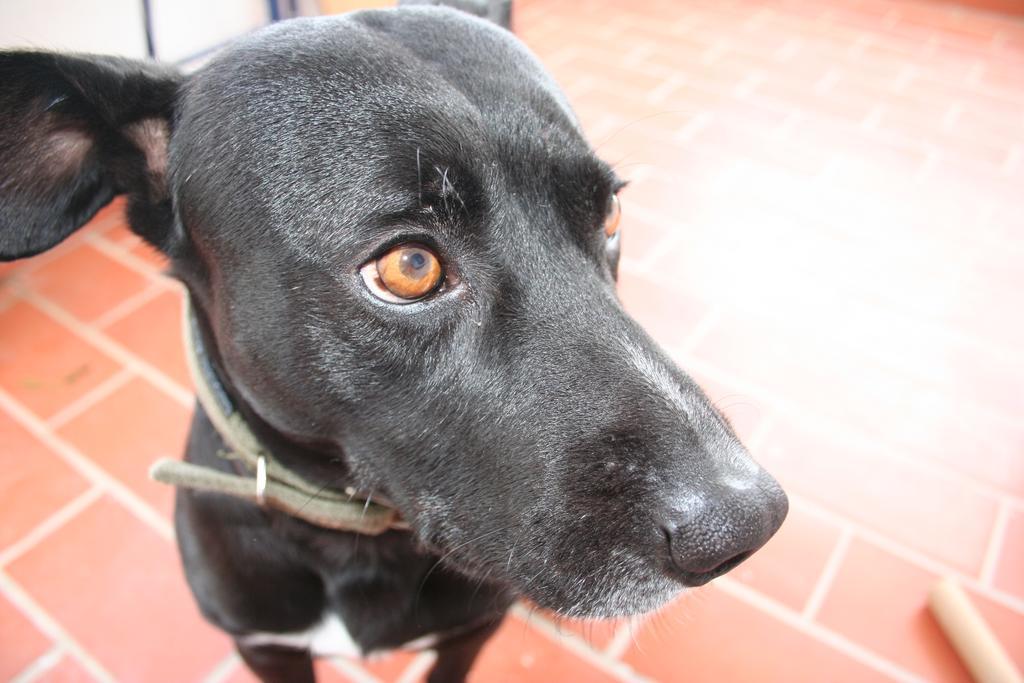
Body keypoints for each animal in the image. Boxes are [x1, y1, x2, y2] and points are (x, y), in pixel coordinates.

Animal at [0, 6, 782, 683]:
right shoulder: (266, 646)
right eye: (410, 266)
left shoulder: (469, 632)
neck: (352, 539)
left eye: (611, 211)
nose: (748, 524)